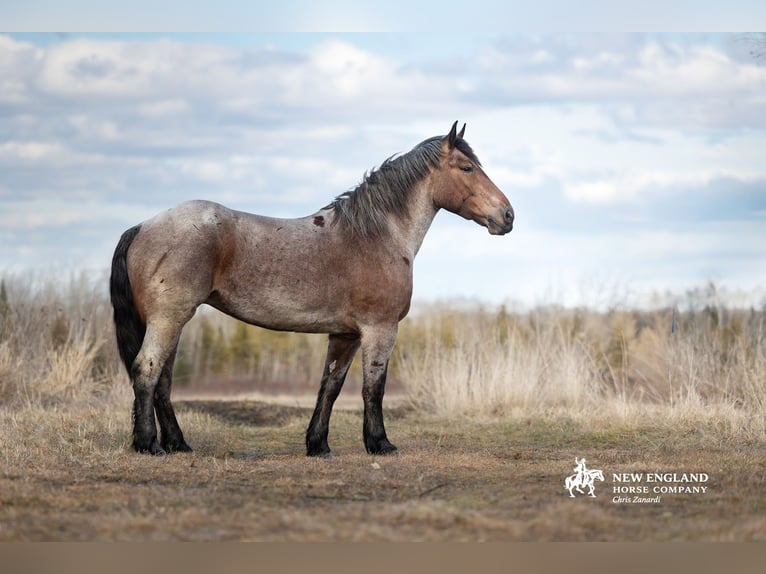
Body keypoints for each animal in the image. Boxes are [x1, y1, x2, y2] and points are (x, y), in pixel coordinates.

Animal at [109, 121, 514, 457]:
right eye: (467, 168)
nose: (507, 215)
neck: (375, 236)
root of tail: (142, 226)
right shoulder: (380, 329)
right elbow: (374, 387)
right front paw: (380, 443)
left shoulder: (345, 334)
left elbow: (330, 386)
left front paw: (318, 445)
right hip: (169, 318)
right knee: (146, 370)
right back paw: (149, 445)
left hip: (172, 322)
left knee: (163, 379)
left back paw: (177, 443)